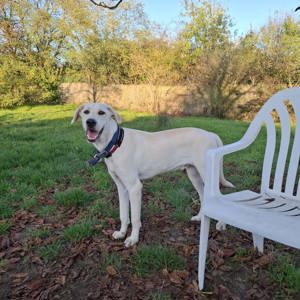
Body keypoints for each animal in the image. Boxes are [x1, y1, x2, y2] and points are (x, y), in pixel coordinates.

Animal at [71, 102, 233, 246]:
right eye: (86, 112)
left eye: (101, 113)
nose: (90, 122)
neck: (116, 142)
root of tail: (211, 134)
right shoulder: (121, 187)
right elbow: (123, 215)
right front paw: (122, 233)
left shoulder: (135, 187)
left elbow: (135, 218)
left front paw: (133, 239)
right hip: (194, 174)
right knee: (202, 195)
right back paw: (199, 217)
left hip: (207, 173)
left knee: (221, 196)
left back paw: (222, 223)